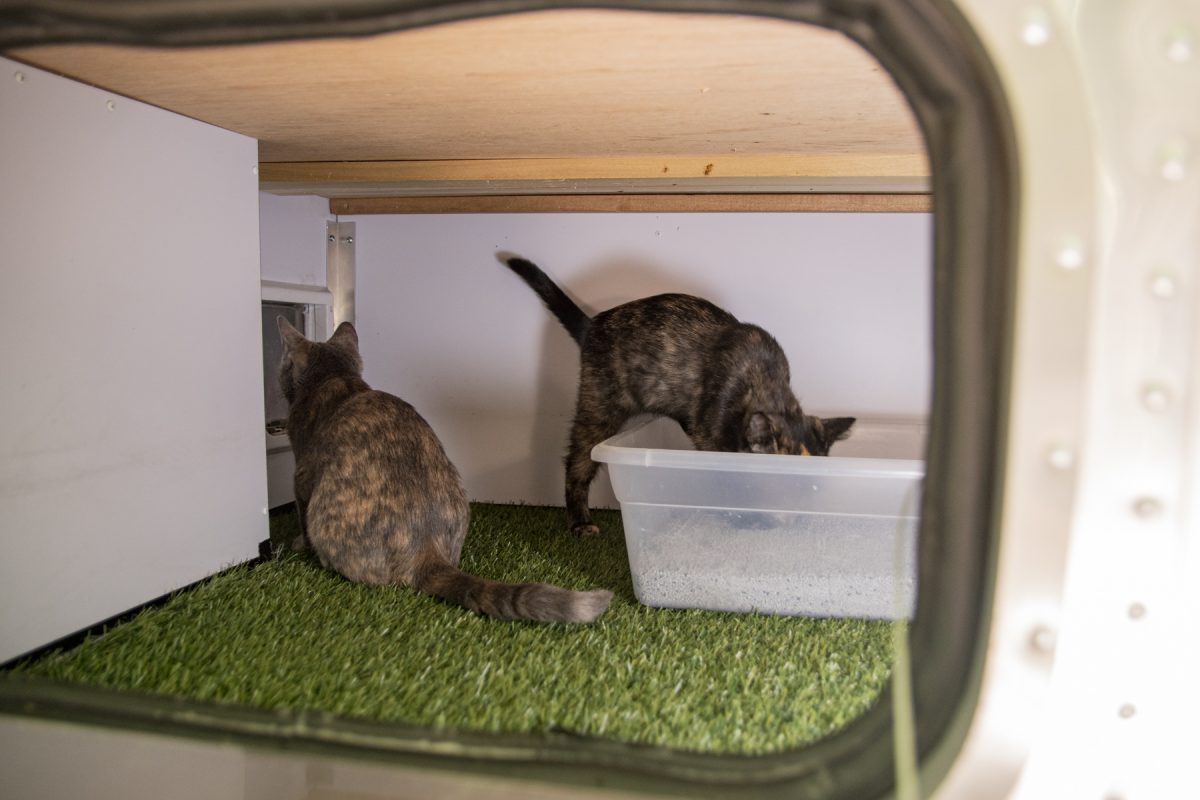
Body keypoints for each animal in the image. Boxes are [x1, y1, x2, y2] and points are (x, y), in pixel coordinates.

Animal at [501, 257, 859, 537]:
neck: (764, 383)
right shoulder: (709, 440)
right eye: (782, 488)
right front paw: (741, 516)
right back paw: (579, 522)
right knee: (576, 462)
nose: (797, 517)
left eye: (813, 489)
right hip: (598, 408)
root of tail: (593, 324)